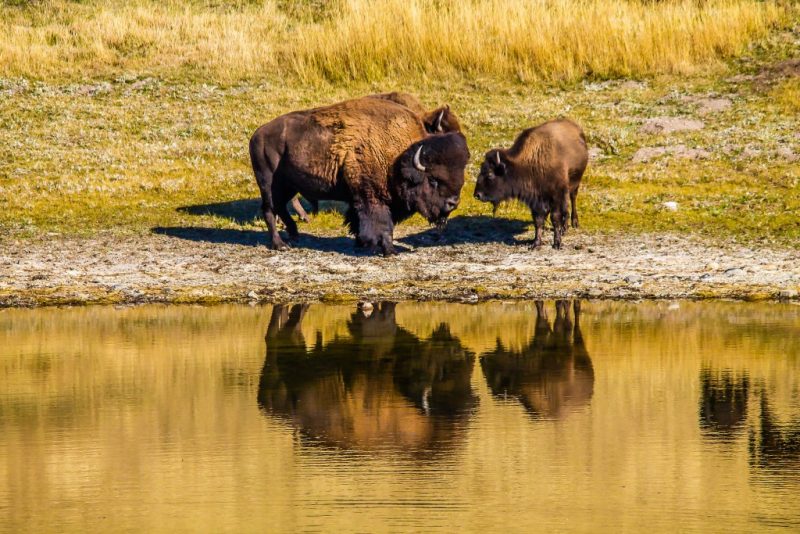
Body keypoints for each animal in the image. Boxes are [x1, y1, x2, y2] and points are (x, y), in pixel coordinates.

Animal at [247, 97, 466, 254]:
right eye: (433, 180)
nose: (453, 203)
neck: (396, 154)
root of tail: (257, 135)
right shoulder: (373, 198)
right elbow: (382, 224)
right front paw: (389, 250)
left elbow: (357, 220)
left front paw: (362, 243)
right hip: (268, 182)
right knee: (269, 210)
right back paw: (279, 245)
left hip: (288, 186)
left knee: (280, 207)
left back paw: (294, 236)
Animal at [472, 119, 584, 249]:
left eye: (490, 174)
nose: (477, 195)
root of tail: (577, 129)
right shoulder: (535, 200)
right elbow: (538, 221)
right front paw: (535, 243)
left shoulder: (556, 195)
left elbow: (555, 218)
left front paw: (556, 243)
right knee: (565, 207)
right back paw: (564, 228)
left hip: (574, 183)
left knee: (572, 199)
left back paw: (574, 223)